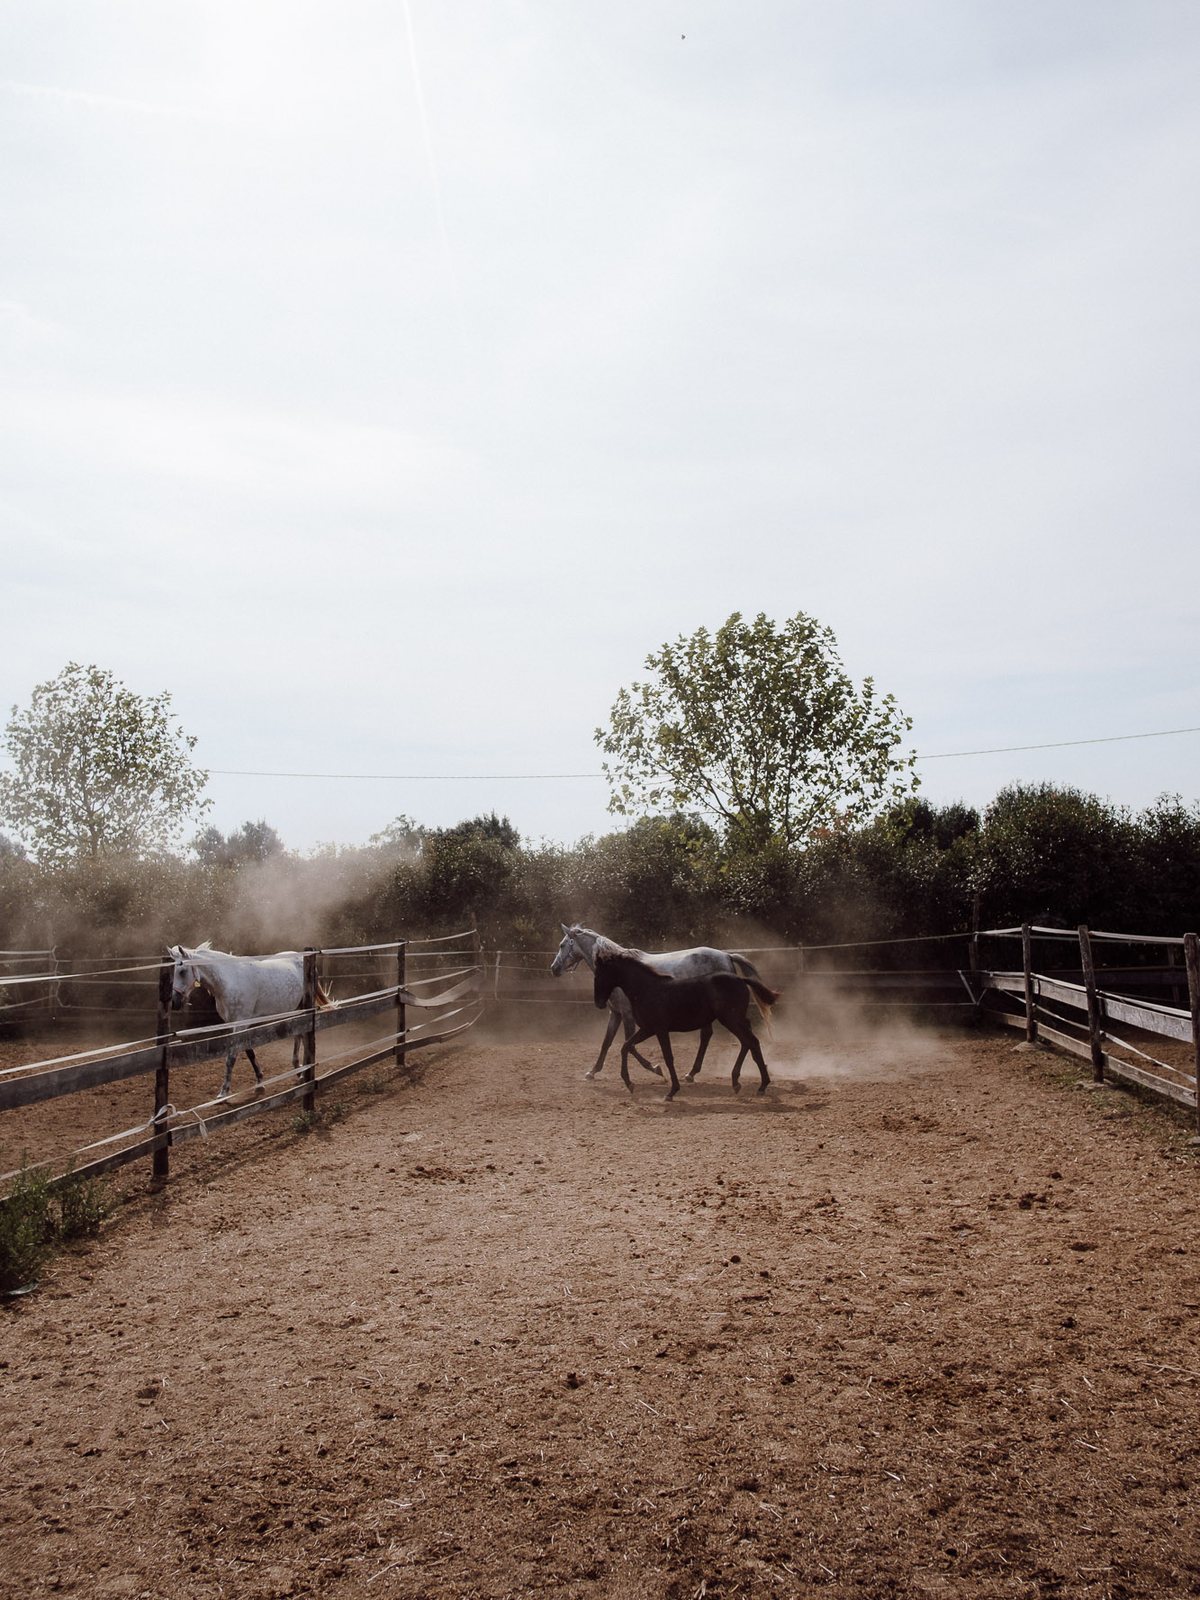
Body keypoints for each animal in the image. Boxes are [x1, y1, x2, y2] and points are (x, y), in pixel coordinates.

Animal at [167, 943, 332, 1099]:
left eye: (182, 971)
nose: (174, 1003)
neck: (230, 980)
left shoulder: (240, 1024)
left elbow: (231, 1057)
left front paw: (224, 1091)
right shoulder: (234, 1024)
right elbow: (249, 1052)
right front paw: (260, 1084)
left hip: (304, 1006)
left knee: (303, 1034)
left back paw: (303, 1072)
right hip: (297, 1008)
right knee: (300, 1034)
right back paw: (299, 1069)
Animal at [549, 922, 767, 1081]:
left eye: (562, 945)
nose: (554, 969)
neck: (622, 974)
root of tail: (726, 955)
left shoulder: (629, 1016)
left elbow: (630, 1045)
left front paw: (655, 1068)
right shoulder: (616, 1014)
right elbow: (607, 1043)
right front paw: (593, 1071)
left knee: (717, 1035)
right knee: (709, 1035)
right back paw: (692, 1073)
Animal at [593, 947, 780, 1102]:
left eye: (600, 974)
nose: (599, 1003)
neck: (646, 989)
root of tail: (740, 979)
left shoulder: (659, 1029)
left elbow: (668, 1057)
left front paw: (671, 1091)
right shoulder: (647, 1029)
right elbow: (625, 1046)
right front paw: (630, 1084)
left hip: (731, 1020)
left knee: (750, 1041)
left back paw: (759, 1085)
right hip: (735, 1020)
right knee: (748, 1042)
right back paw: (739, 1082)